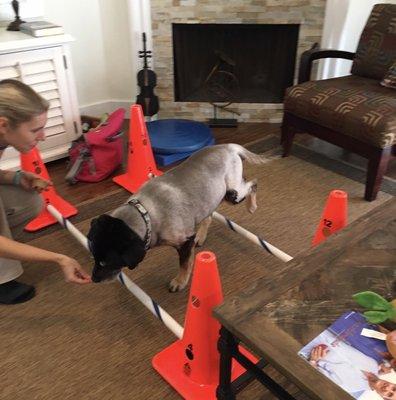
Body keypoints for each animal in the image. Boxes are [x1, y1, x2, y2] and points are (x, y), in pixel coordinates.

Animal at [86, 143, 272, 290]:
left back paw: (252, 206)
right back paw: (201, 236)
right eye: (93, 256)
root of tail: (229, 146)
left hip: (233, 193)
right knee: (210, 215)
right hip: (214, 196)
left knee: (253, 183)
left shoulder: (184, 241)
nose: (93, 279)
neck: (147, 214)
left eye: (105, 262)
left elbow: (184, 264)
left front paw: (180, 282)